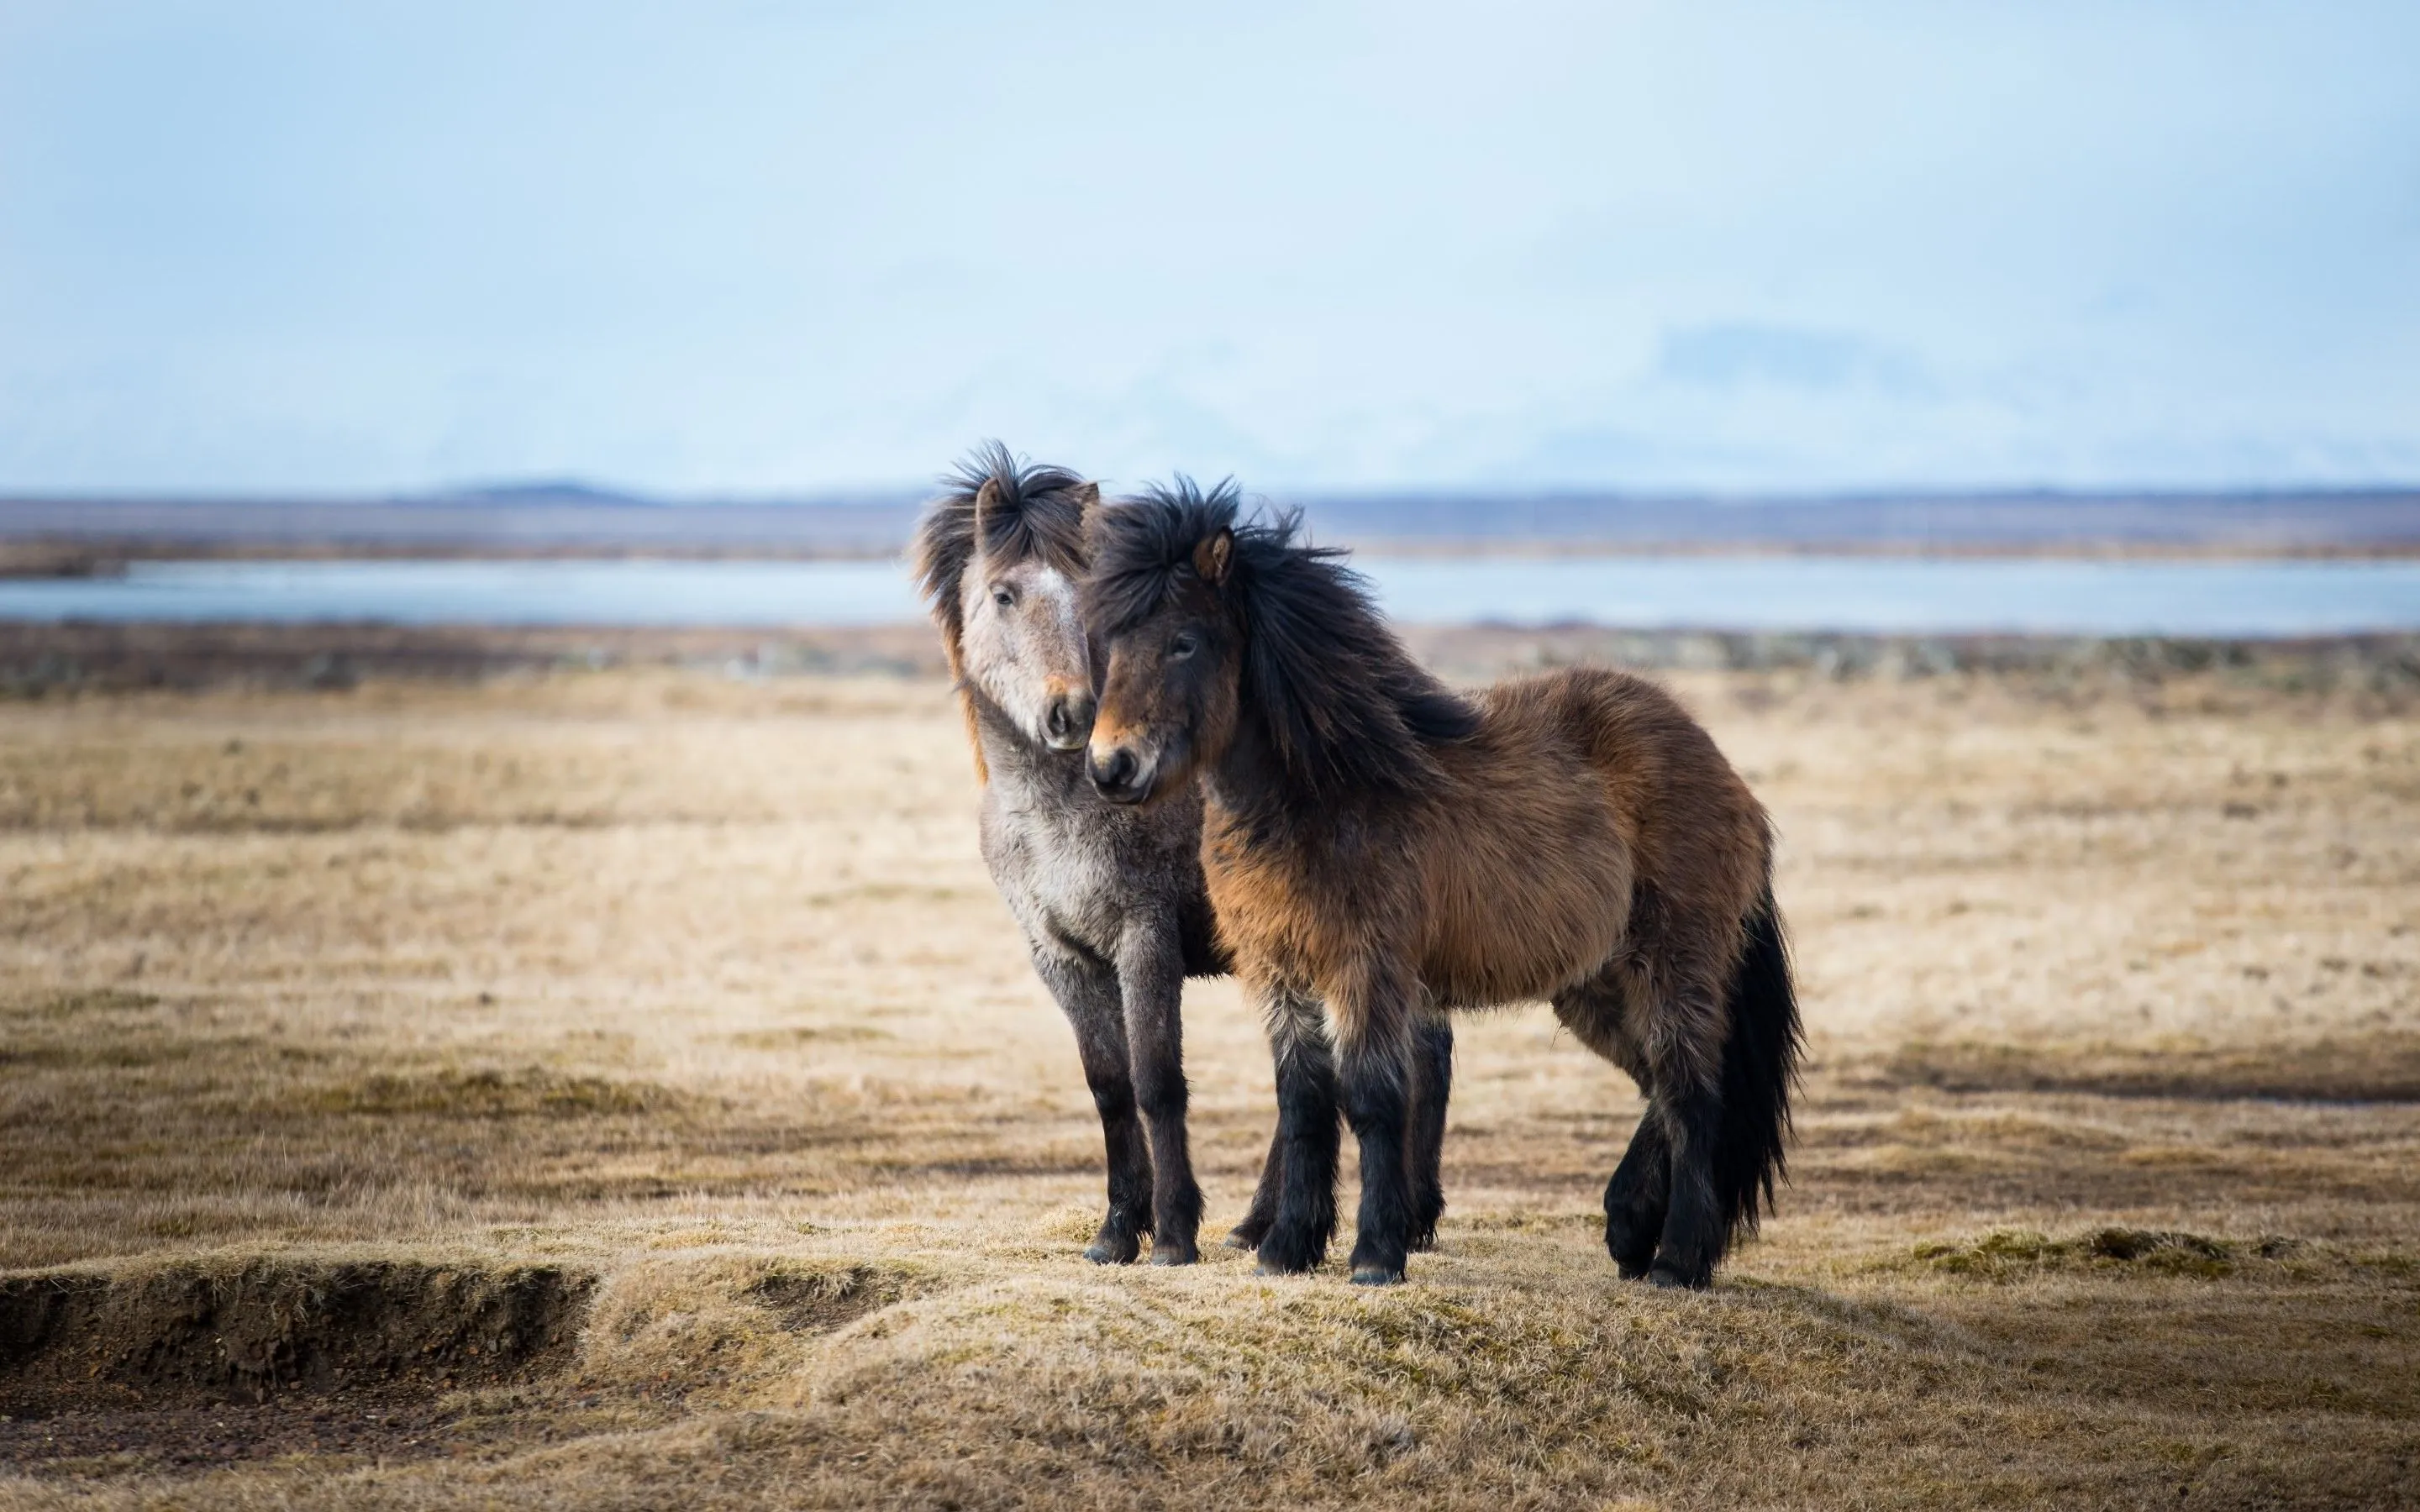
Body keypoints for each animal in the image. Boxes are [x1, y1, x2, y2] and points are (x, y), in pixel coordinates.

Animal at [910, 444, 1239, 1264]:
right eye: (1003, 594)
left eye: (1088, 596)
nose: (1075, 712)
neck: (1059, 812)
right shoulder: (1059, 955)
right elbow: (1109, 1085)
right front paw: (1117, 1231)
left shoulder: (1144, 940)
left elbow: (1157, 1081)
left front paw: (1175, 1234)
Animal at [1080, 480, 1802, 1288]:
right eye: (1111, 642)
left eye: (1184, 640)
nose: (1111, 767)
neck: (1326, 793)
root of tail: (1727, 775)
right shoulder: (1280, 973)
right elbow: (1302, 1105)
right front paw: (1288, 1248)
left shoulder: (1366, 970)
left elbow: (1370, 1101)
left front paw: (1374, 1256)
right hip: (1596, 984)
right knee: (1665, 1089)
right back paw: (1628, 1228)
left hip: (1672, 964)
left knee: (1692, 1095)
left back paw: (1677, 1259)